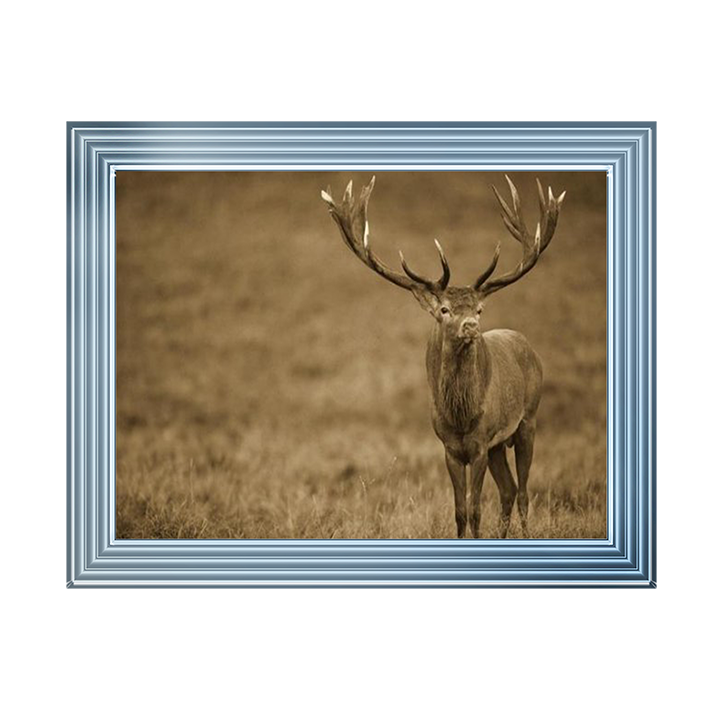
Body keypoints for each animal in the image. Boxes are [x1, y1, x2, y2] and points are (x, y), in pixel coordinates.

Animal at [321, 175, 565, 539]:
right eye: (444, 309)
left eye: (479, 309)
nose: (471, 326)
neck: (460, 417)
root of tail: (528, 346)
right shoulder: (450, 447)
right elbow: (460, 510)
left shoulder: (479, 444)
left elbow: (476, 509)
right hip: (499, 445)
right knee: (508, 490)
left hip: (528, 420)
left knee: (522, 492)